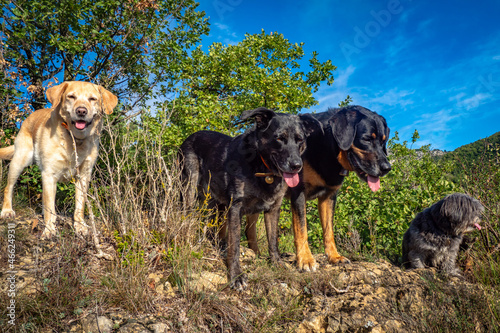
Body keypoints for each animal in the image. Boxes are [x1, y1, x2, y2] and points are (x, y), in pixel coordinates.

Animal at [180, 107, 316, 288]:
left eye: (300, 140)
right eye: (279, 138)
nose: (296, 166)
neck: (262, 166)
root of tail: (190, 136)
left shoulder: (273, 209)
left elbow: (273, 241)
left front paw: (276, 263)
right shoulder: (235, 208)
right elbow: (235, 246)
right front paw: (236, 276)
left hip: (215, 204)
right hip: (189, 189)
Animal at [288, 105, 388, 272]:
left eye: (383, 141)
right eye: (367, 139)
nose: (387, 168)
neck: (328, 147)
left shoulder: (328, 196)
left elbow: (329, 230)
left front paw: (334, 257)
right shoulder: (298, 193)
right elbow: (301, 229)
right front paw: (305, 259)